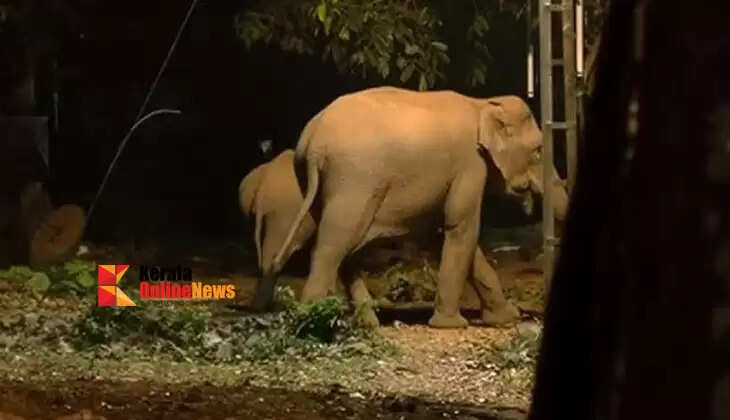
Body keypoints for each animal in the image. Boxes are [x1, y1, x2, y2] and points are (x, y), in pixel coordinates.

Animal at [252, 86, 563, 329]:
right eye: (538, 150)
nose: (530, 314)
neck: (482, 103)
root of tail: (312, 140)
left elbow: (444, 233)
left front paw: (506, 318)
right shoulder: (470, 165)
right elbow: (461, 226)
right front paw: (451, 325)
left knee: (346, 246)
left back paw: (368, 323)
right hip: (354, 182)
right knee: (334, 243)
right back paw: (313, 319)